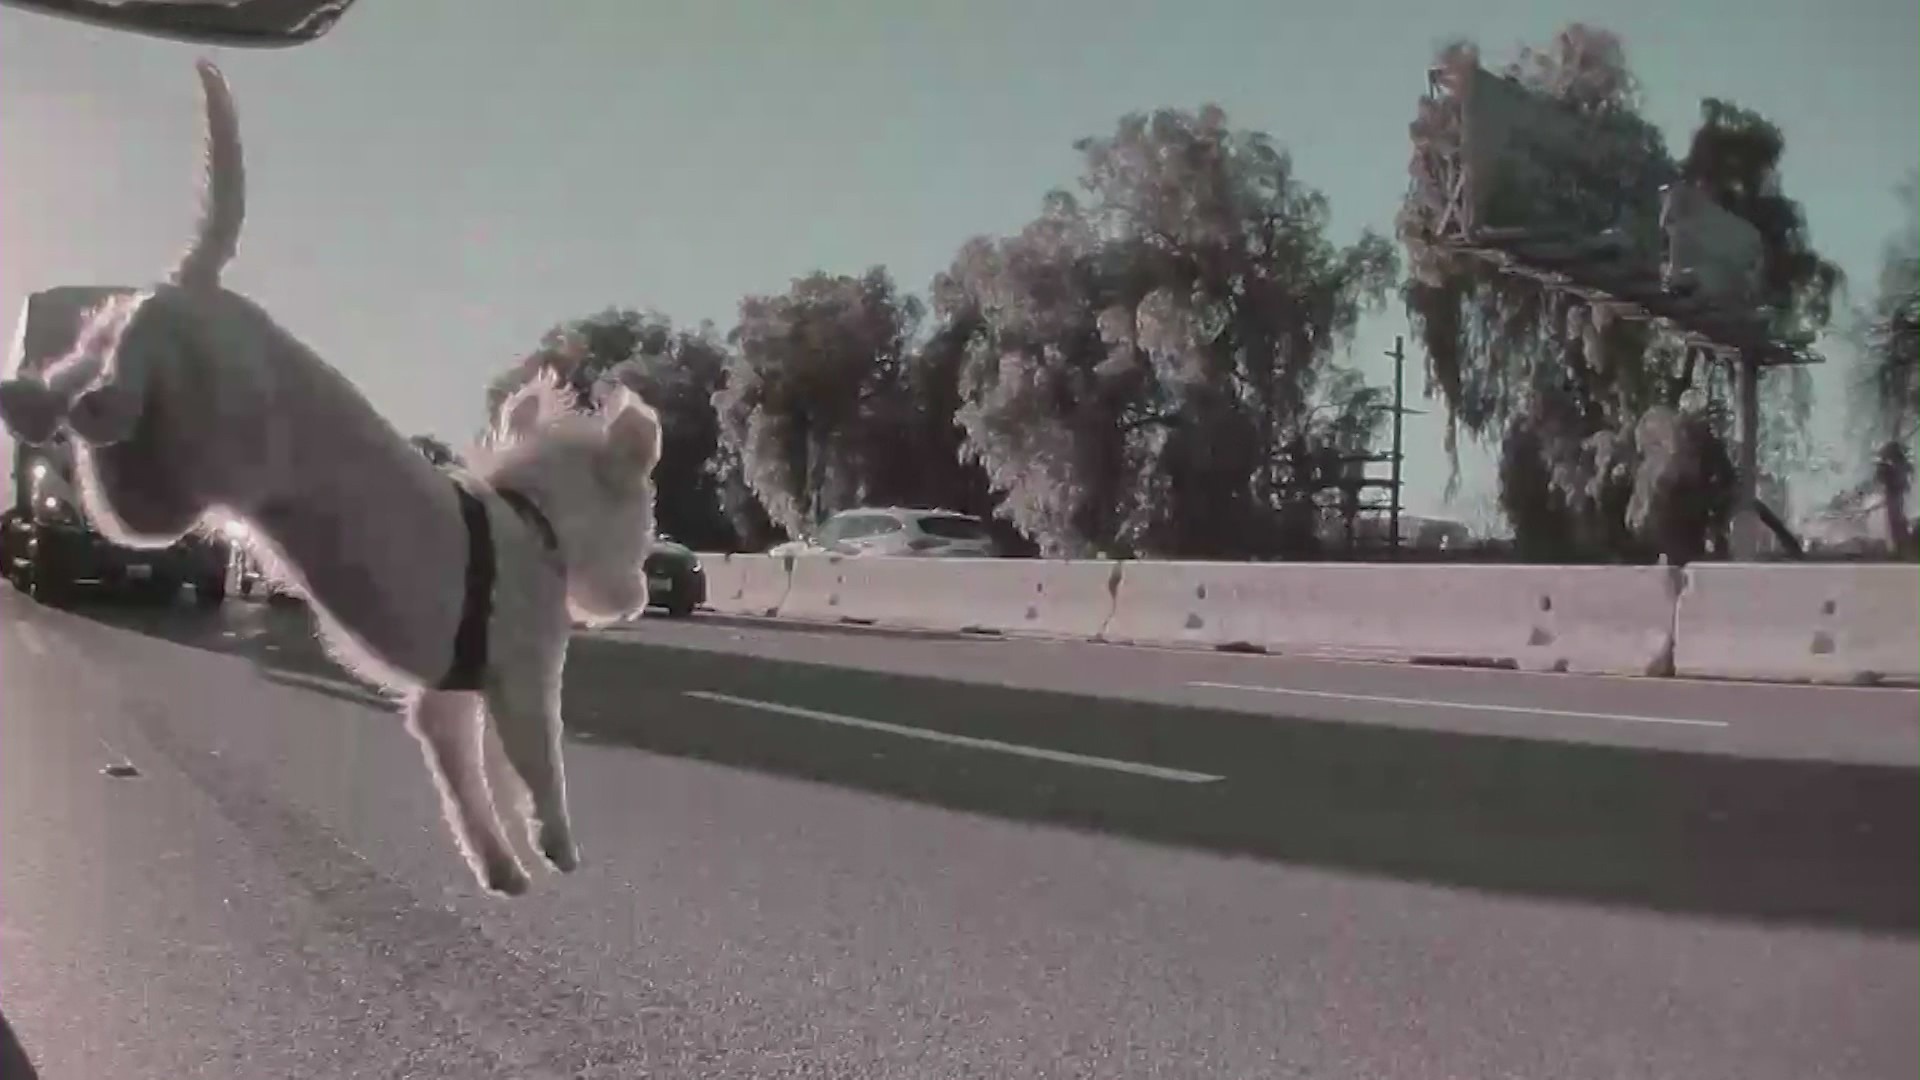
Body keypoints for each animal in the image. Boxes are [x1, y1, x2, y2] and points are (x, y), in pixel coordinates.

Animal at [0, 62, 664, 895]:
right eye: (645, 531)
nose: (638, 600)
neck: (531, 516)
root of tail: (199, 286)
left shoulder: (445, 708)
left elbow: (469, 794)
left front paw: (500, 867)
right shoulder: (524, 684)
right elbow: (542, 769)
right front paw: (558, 846)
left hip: (156, 431)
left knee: (91, 364)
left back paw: (32, 397)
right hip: (188, 452)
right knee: (108, 409)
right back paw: (83, 408)